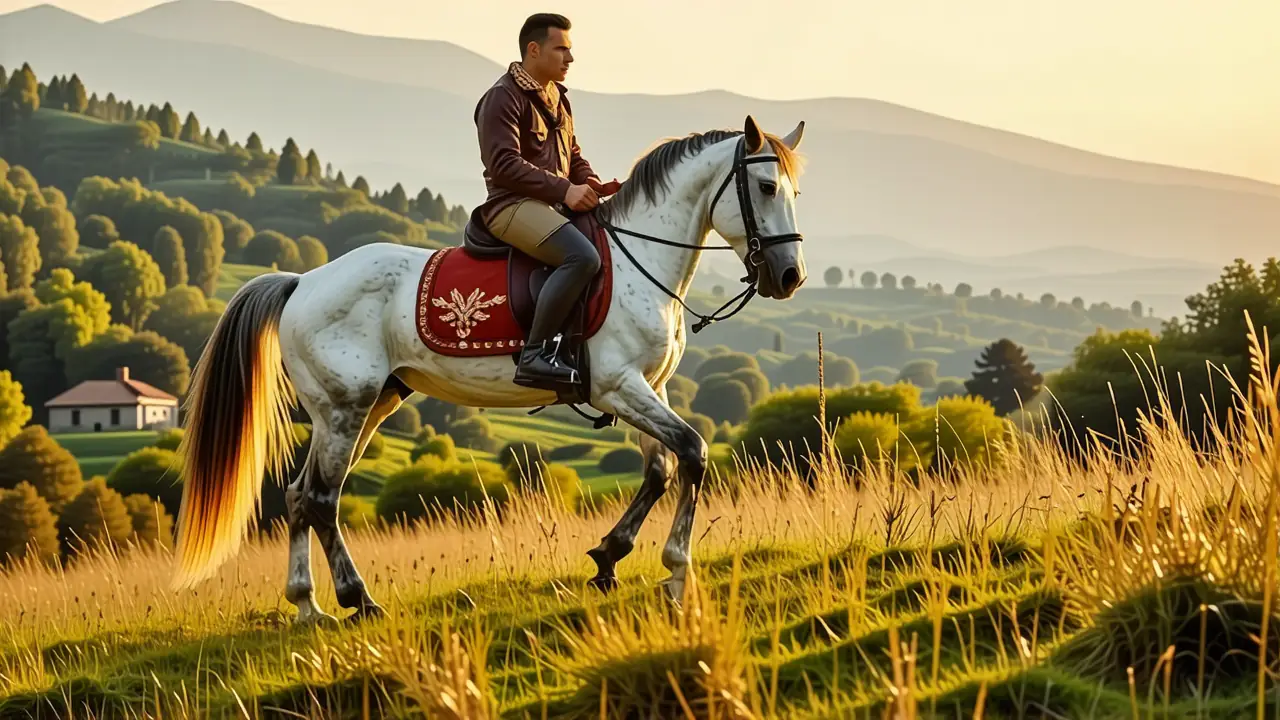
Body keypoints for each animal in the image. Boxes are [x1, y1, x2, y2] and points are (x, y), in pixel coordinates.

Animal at [171, 115, 809, 624]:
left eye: (795, 189)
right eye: (766, 186)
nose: (789, 276)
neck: (641, 261)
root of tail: (302, 281)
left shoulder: (650, 387)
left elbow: (661, 470)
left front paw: (608, 558)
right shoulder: (619, 387)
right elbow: (694, 453)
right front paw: (676, 573)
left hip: (368, 405)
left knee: (302, 495)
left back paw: (308, 605)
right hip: (344, 406)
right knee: (324, 499)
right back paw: (359, 600)